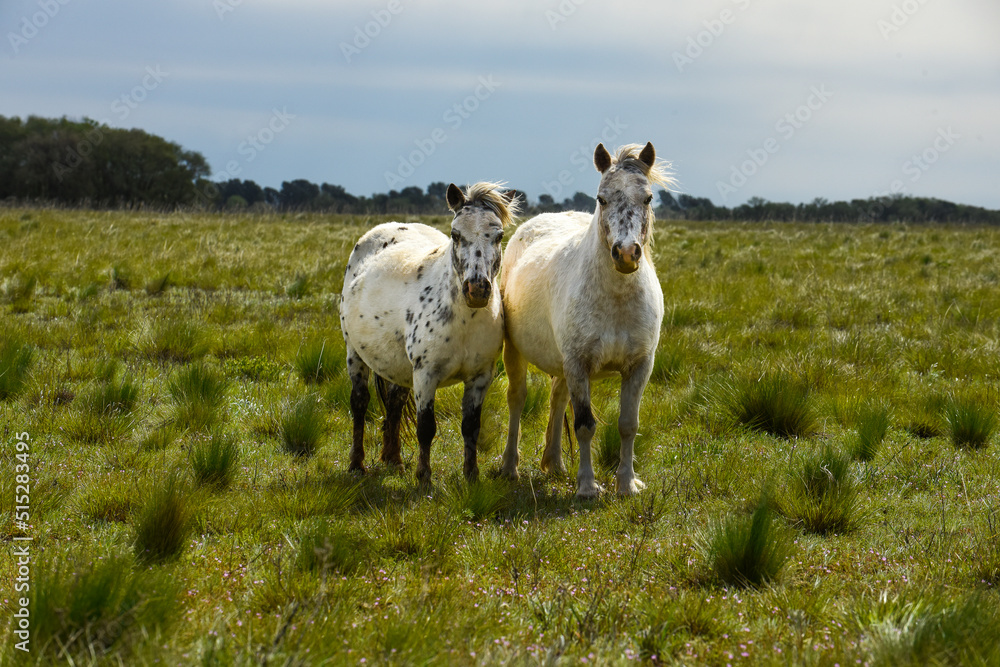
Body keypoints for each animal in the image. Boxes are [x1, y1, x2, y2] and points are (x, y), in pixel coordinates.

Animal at [340, 182, 519, 485]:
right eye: (456, 234)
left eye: (499, 236)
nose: (477, 290)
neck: (464, 322)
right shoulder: (426, 374)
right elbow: (426, 427)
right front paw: (423, 477)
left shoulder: (481, 376)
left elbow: (471, 426)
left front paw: (471, 475)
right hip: (355, 354)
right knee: (360, 403)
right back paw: (355, 464)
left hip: (397, 365)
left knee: (395, 403)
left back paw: (394, 460)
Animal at [499, 142, 672, 498]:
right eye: (601, 199)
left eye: (648, 198)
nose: (626, 254)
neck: (616, 299)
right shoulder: (578, 364)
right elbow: (584, 426)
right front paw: (588, 487)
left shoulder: (639, 367)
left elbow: (628, 425)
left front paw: (626, 483)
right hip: (516, 352)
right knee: (517, 399)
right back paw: (510, 467)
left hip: (563, 365)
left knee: (557, 399)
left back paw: (554, 463)